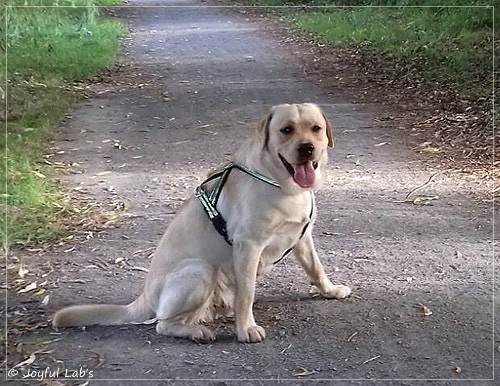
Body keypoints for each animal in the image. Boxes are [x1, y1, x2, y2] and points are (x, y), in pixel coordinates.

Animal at [53, 103, 352, 344]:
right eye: (286, 130)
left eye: (316, 128)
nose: (307, 148)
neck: (280, 183)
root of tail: (143, 298)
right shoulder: (248, 246)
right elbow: (247, 293)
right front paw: (246, 329)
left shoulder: (302, 237)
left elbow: (316, 268)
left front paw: (329, 290)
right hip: (201, 270)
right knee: (163, 324)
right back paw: (197, 332)